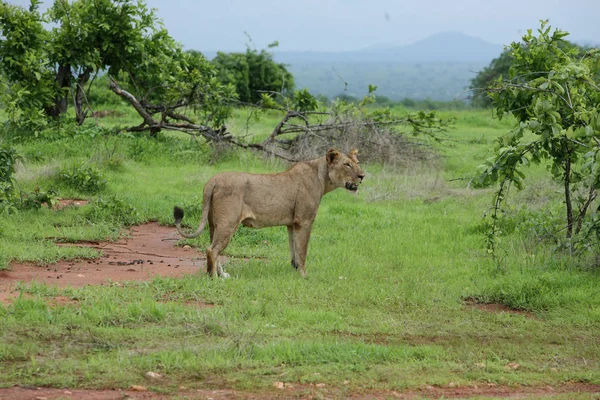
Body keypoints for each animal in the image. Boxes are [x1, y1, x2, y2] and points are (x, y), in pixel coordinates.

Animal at [171, 148, 364, 276]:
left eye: (357, 163)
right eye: (347, 165)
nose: (363, 176)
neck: (322, 178)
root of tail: (213, 180)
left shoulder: (292, 223)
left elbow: (294, 248)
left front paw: (294, 270)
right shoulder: (304, 220)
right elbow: (303, 250)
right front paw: (304, 275)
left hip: (214, 223)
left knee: (214, 248)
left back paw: (221, 275)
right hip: (229, 222)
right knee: (212, 249)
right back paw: (214, 279)